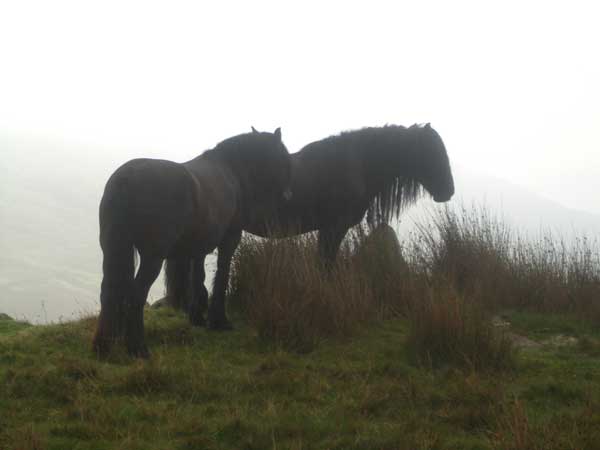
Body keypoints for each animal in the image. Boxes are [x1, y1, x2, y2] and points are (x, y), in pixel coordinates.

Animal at [92, 128, 292, 356]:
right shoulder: (229, 239)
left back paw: (103, 346)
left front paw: (197, 317)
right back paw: (138, 348)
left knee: (108, 292)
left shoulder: (197, 247)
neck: (231, 171)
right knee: (136, 294)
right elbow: (221, 275)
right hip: (152, 257)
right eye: (282, 157)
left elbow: (197, 277)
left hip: (113, 248)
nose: (288, 195)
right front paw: (219, 321)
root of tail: (126, 179)